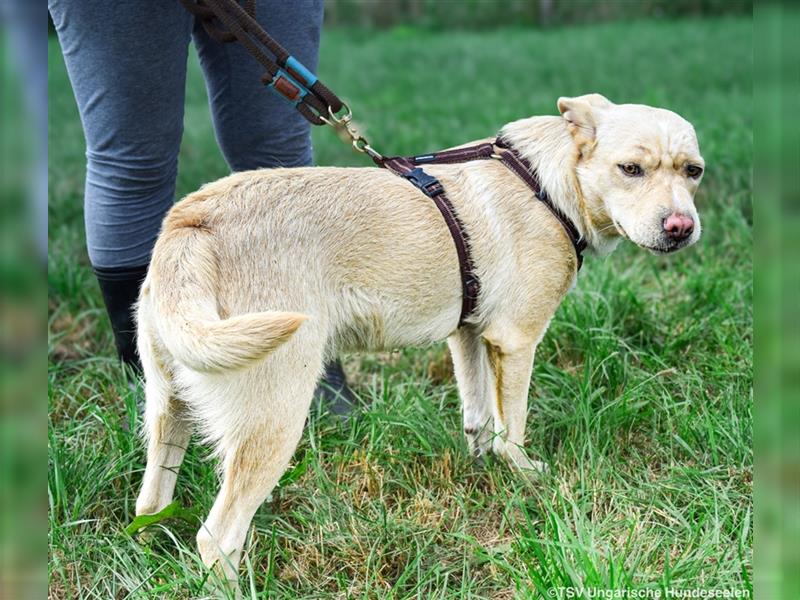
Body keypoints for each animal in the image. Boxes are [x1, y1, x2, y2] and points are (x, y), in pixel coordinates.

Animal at [134, 94, 704, 580]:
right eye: (630, 169)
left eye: (693, 171)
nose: (681, 228)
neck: (545, 182)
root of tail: (192, 221)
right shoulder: (516, 341)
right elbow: (513, 428)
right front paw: (525, 476)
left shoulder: (469, 335)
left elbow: (479, 418)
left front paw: (482, 469)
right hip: (274, 416)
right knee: (217, 537)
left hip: (167, 407)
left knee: (151, 504)